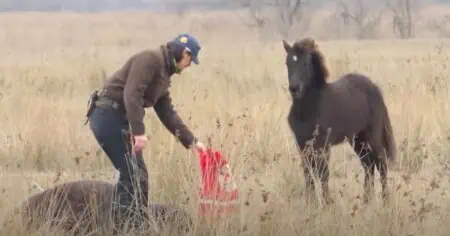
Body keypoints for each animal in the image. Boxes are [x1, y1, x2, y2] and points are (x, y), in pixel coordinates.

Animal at [284, 37, 396, 206]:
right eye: (288, 63)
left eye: (305, 63)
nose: (294, 88)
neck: (310, 106)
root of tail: (374, 87)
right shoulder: (302, 144)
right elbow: (308, 173)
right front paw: (311, 204)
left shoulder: (323, 144)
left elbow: (323, 173)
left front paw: (327, 203)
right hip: (357, 140)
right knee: (368, 165)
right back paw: (366, 200)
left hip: (372, 136)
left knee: (381, 162)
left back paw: (385, 201)